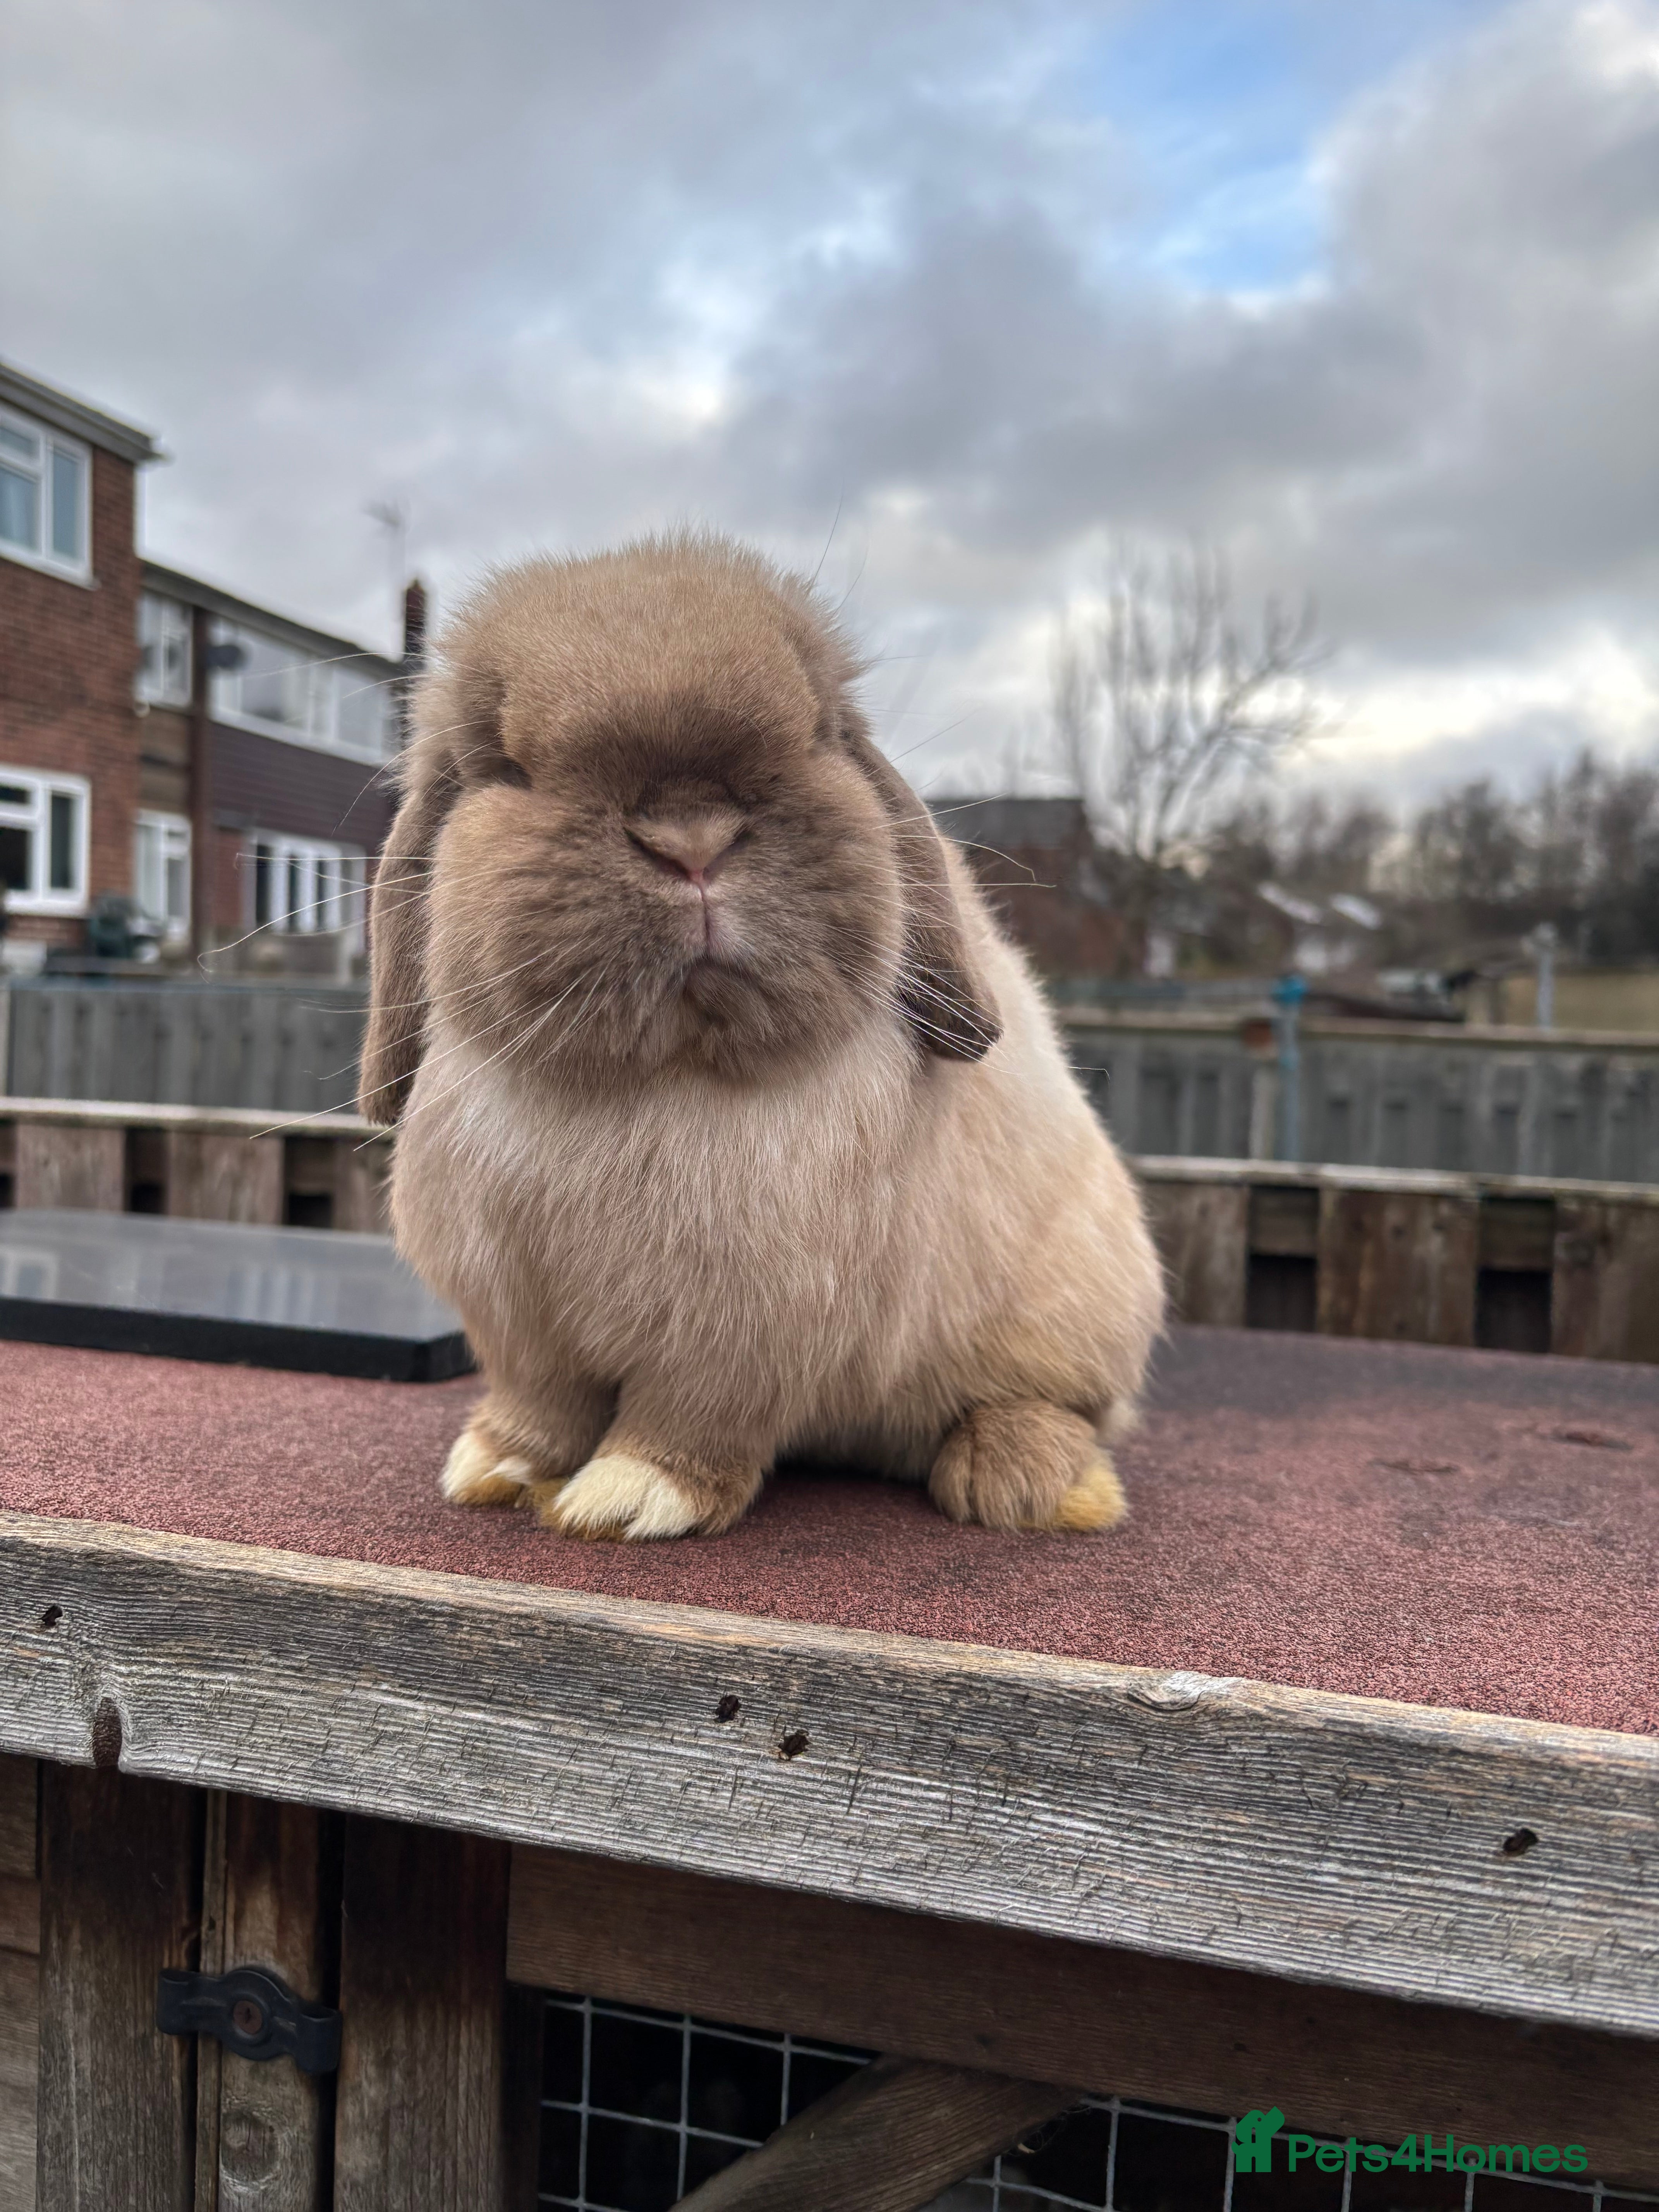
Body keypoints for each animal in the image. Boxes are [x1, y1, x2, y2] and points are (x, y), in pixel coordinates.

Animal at [360, 533, 1165, 1541]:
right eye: (503, 765)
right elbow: (539, 1406)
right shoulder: (521, 1328)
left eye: (818, 732)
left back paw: (1024, 1481)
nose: (691, 838)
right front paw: (496, 1468)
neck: (659, 1081)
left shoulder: (748, 1334)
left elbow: (691, 1423)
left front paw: (627, 1500)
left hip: (1074, 1314)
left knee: (1062, 1408)